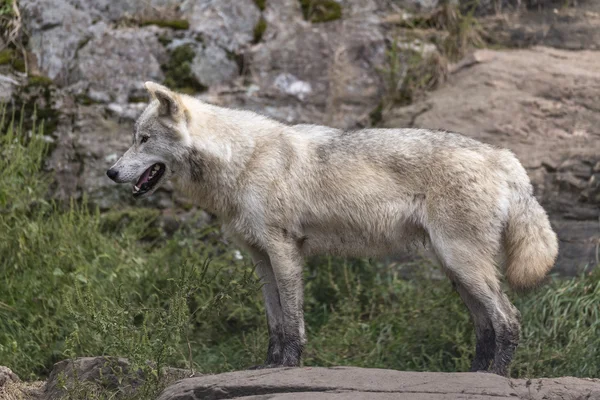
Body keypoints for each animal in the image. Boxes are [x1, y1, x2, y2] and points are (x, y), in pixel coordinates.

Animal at [106, 81, 556, 376]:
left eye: (143, 139)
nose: (110, 172)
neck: (242, 161)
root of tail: (504, 157)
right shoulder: (260, 259)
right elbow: (274, 321)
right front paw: (266, 366)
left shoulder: (284, 251)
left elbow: (292, 321)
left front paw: (289, 366)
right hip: (455, 270)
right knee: (485, 326)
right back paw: (473, 375)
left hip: (462, 263)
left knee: (508, 319)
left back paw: (495, 377)